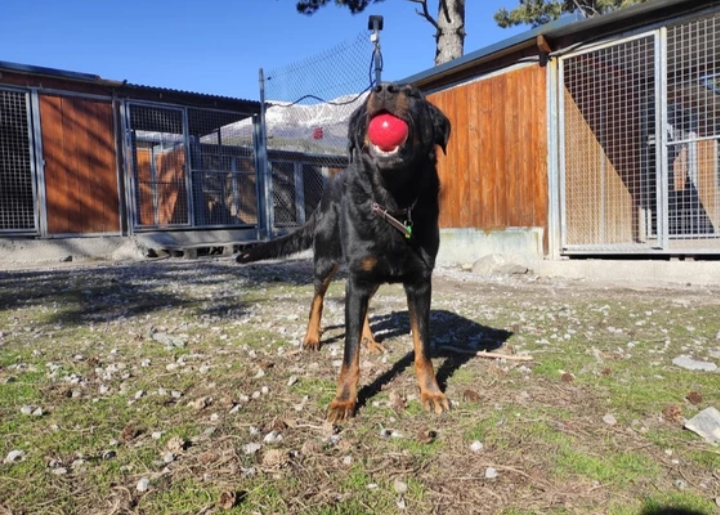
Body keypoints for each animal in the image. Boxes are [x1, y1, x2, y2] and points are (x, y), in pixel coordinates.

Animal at [236, 83, 450, 424]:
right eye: (370, 98)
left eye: (414, 94)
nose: (384, 88)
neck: (392, 202)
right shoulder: (358, 279)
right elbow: (349, 353)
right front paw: (344, 399)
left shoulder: (419, 283)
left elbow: (422, 348)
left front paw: (431, 392)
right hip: (328, 260)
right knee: (318, 299)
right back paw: (312, 337)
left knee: (362, 310)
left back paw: (369, 339)